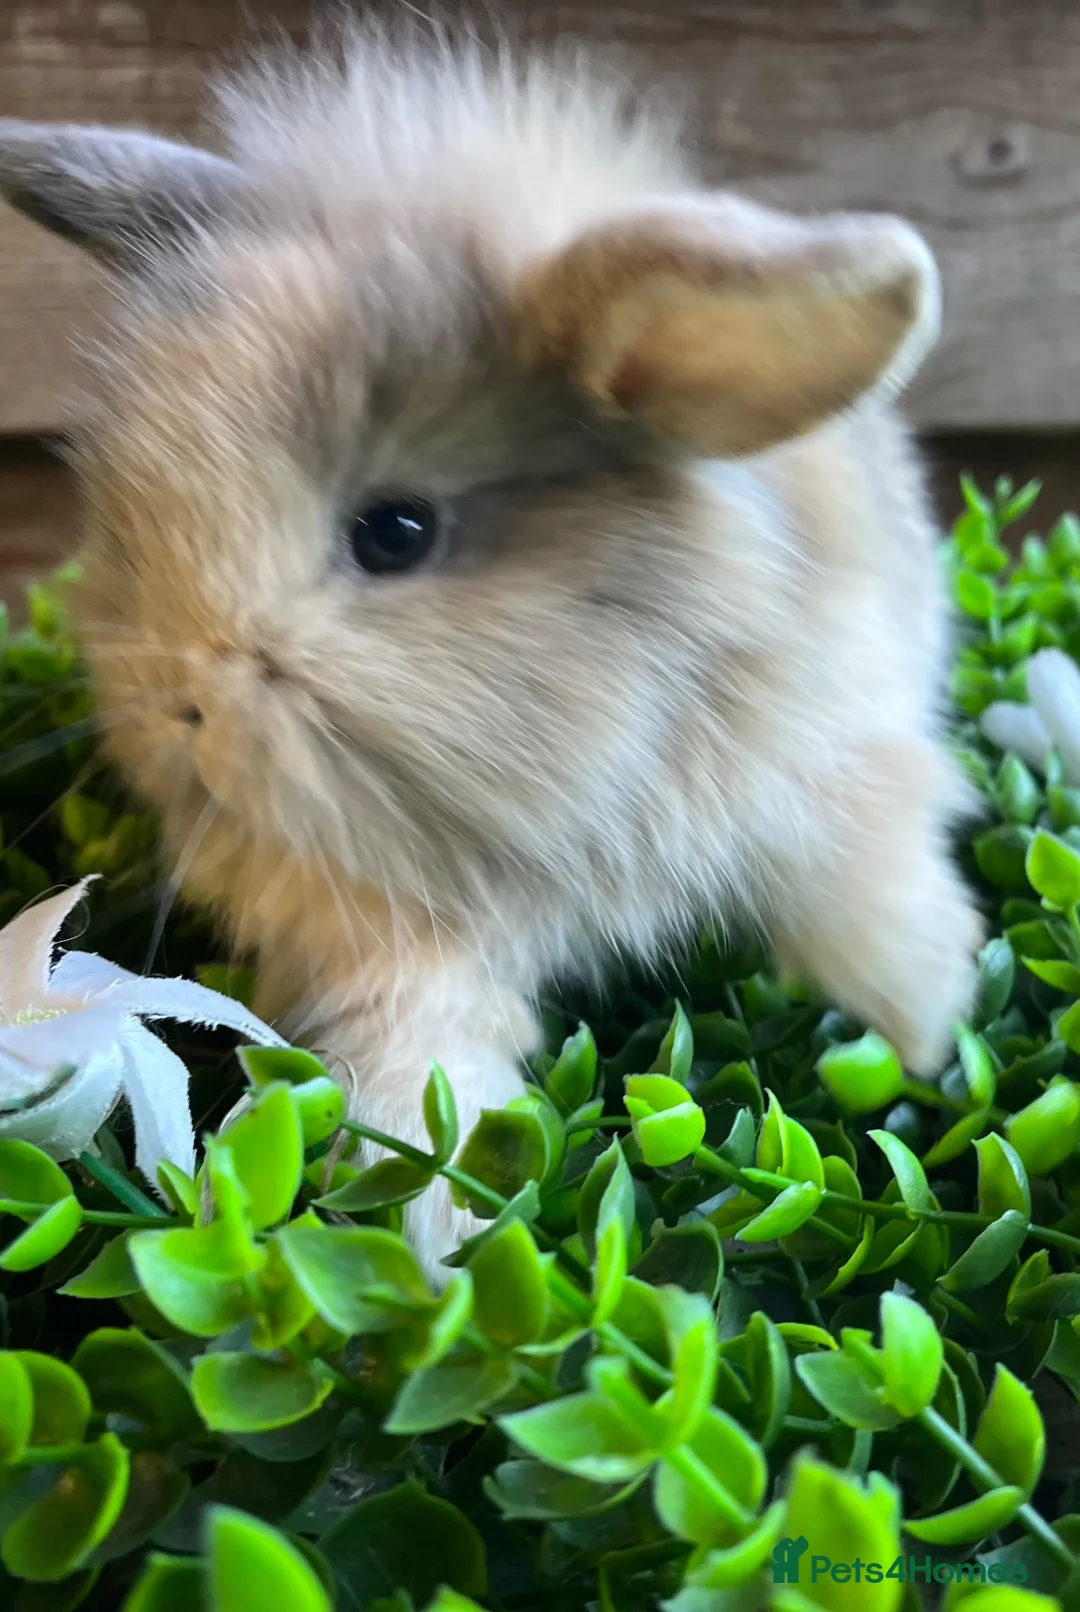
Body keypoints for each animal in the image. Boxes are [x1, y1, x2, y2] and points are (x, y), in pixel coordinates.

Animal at [0, 19, 982, 1273]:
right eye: (126, 530)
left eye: (396, 532)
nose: (177, 716)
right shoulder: (385, 942)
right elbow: (419, 1065)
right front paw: (432, 1236)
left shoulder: (841, 762)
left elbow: (873, 891)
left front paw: (921, 1035)